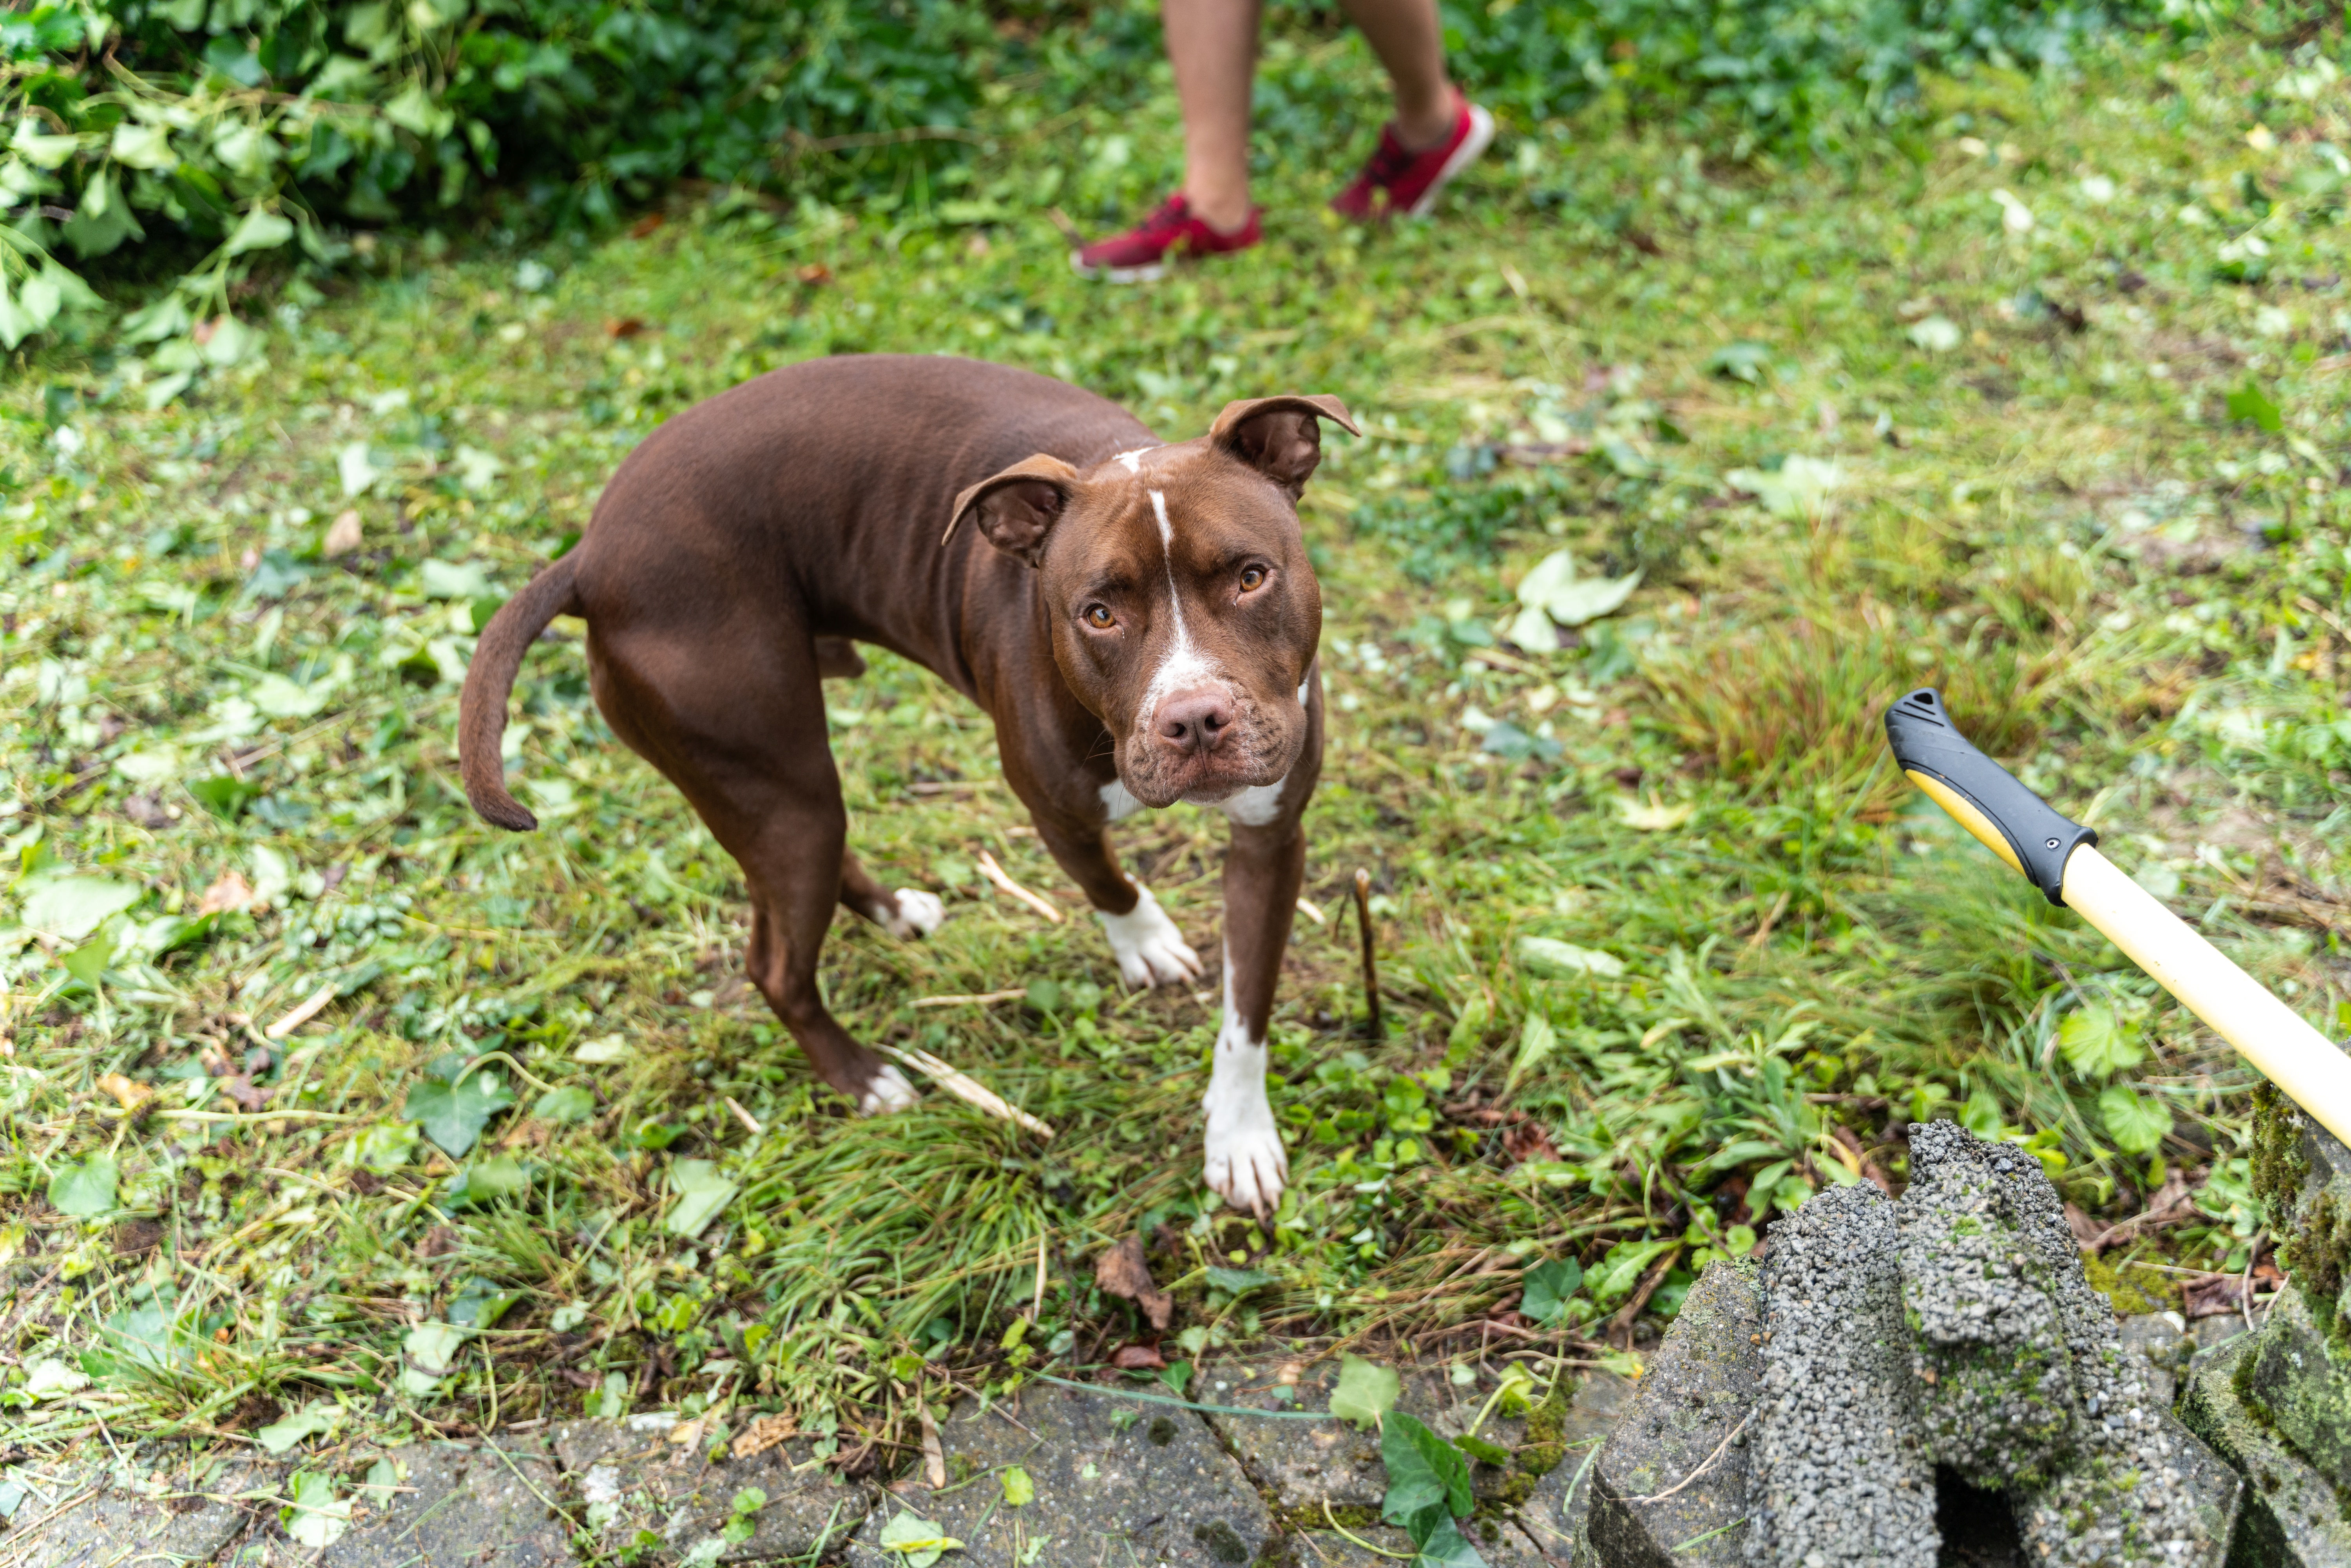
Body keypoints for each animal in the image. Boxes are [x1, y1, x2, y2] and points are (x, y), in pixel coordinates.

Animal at [454, 360, 1364, 1222]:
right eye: (1099, 614)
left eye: (1251, 577)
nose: (1194, 720)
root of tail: (588, 554)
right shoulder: (1052, 809)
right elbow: (1109, 880)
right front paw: (1145, 942)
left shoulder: (1272, 841)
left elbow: (1247, 1013)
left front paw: (1238, 1136)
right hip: (777, 779)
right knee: (776, 963)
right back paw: (866, 1079)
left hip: (774, 786)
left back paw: (893, 914)